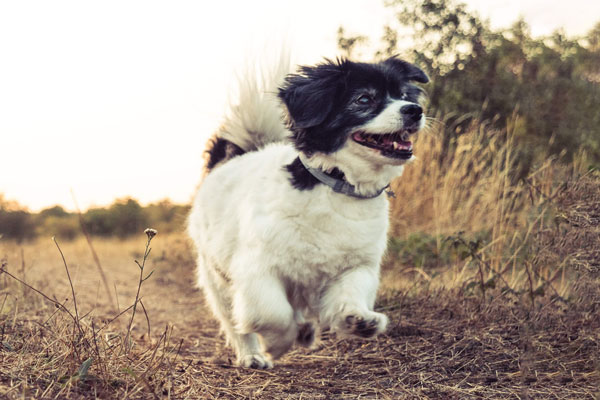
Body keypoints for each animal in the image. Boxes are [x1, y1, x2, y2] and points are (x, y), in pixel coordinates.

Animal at [188, 55, 426, 368]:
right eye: (364, 99)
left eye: (404, 96)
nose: (415, 110)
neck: (338, 184)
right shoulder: (257, 271)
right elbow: (272, 314)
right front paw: (277, 344)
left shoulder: (357, 266)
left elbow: (350, 294)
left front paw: (357, 320)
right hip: (217, 280)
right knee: (236, 323)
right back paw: (253, 355)